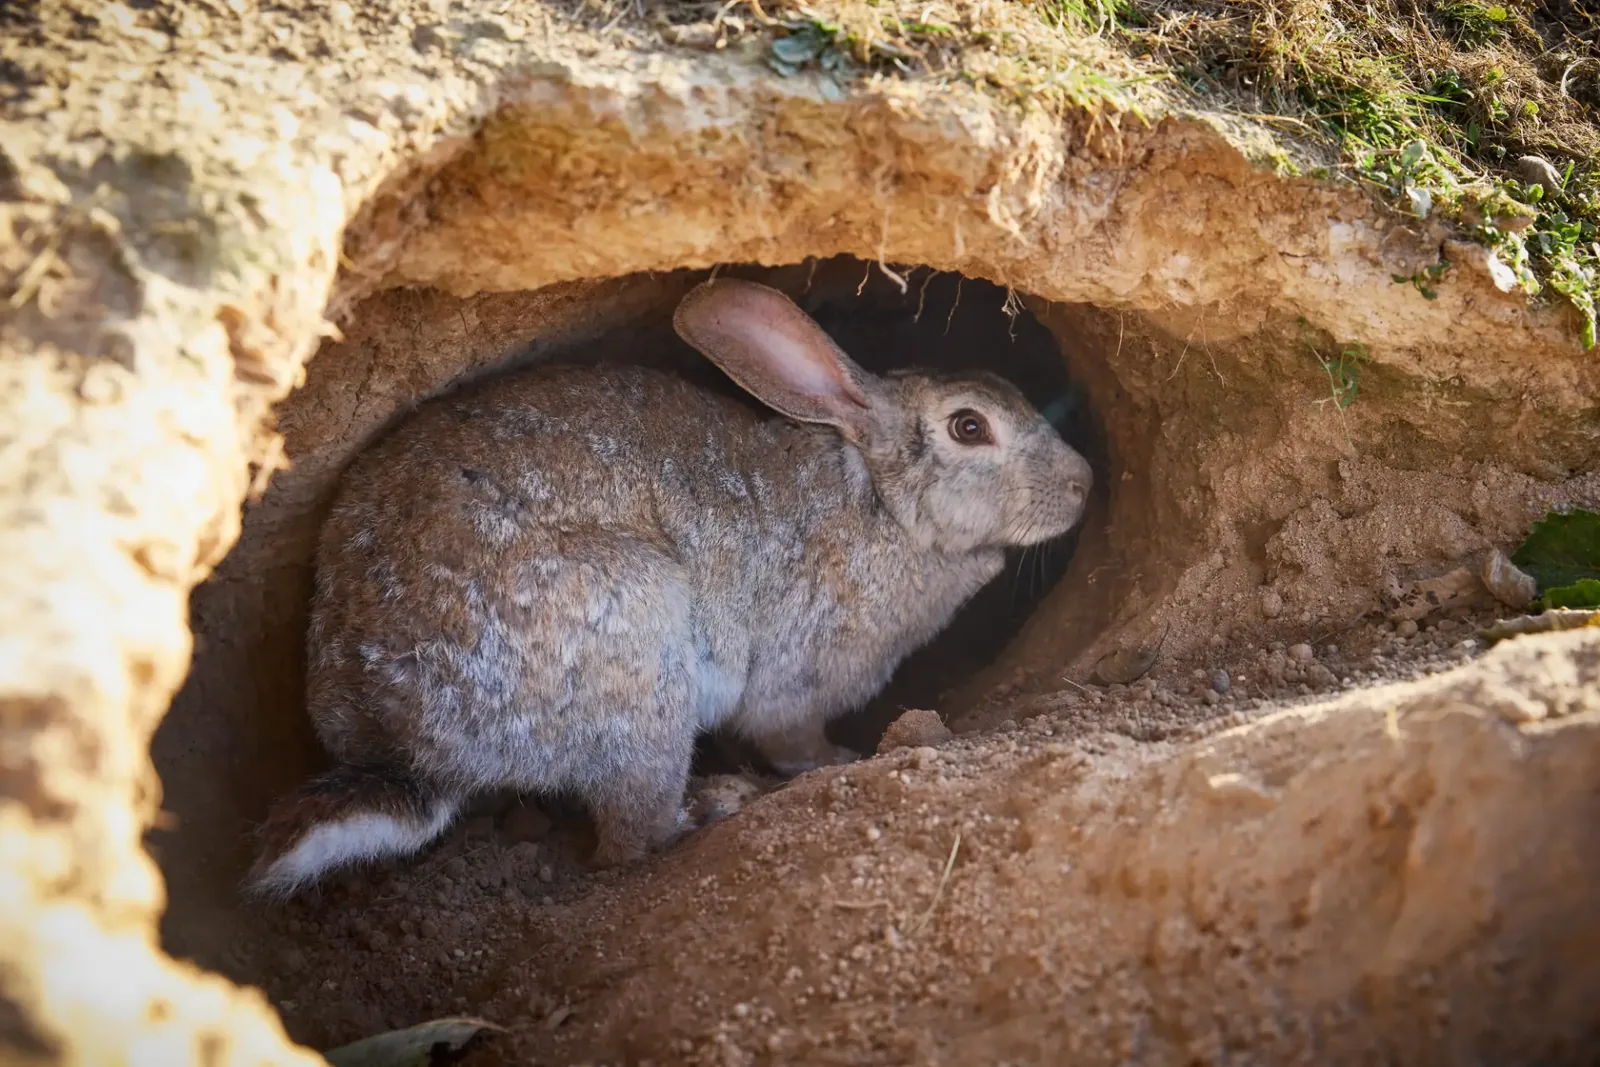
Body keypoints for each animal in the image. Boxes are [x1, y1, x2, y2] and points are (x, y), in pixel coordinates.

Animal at [245, 277, 1093, 898]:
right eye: (969, 427)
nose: (1085, 483)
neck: (880, 500)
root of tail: (404, 743)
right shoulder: (799, 677)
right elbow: (791, 737)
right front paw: (838, 758)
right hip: (640, 648)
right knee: (630, 835)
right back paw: (714, 804)